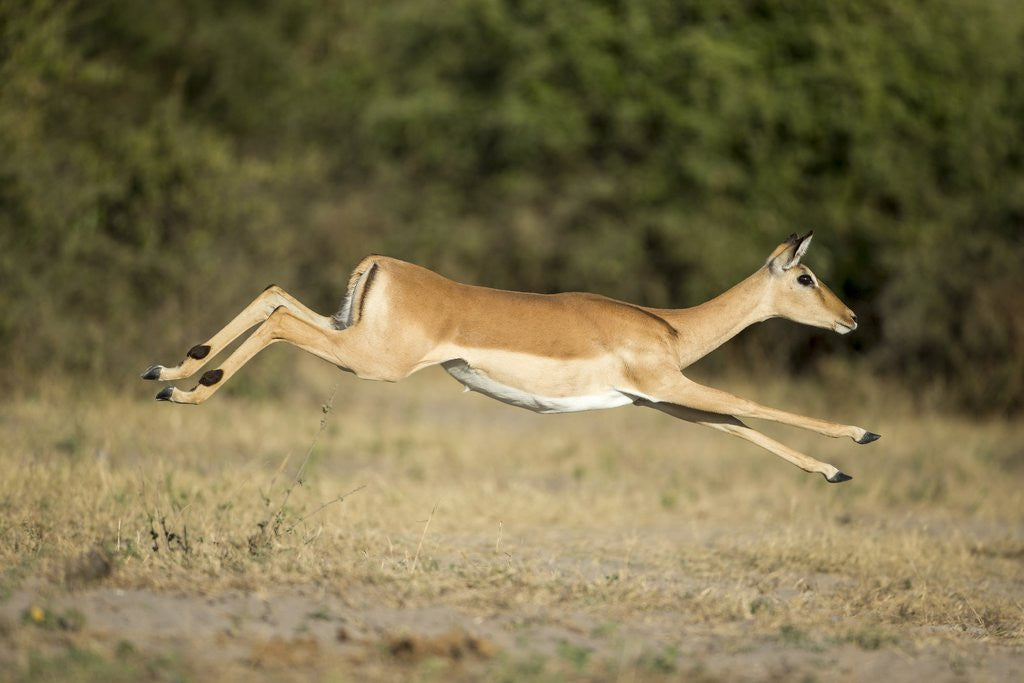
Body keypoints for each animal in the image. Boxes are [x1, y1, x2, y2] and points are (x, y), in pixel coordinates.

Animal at [143, 232, 879, 482]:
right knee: (278, 325)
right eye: (806, 277)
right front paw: (862, 436)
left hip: (348, 329)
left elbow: (741, 426)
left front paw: (835, 472)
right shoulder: (671, 385)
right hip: (371, 359)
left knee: (274, 297)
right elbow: (754, 405)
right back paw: (185, 388)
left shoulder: (662, 401)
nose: (851, 318)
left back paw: (168, 372)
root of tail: (379, 263)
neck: (670, 328)